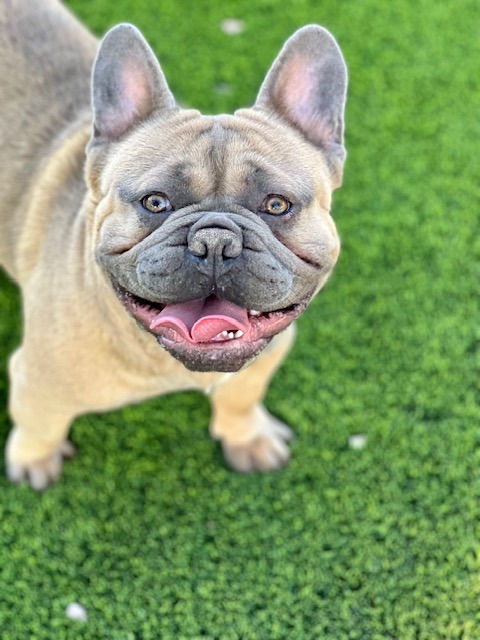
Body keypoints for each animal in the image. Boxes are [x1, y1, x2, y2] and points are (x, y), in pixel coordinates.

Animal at [0, 0, 347, 490]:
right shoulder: (38, 381)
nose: (216, 241)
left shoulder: (266, 355)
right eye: (156, 202)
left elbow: (241, 394)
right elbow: (39, 424)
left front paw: (247, 438)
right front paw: (34, 460)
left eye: (277, 205)